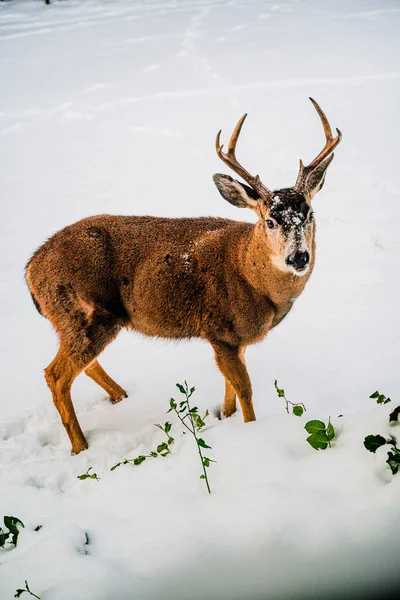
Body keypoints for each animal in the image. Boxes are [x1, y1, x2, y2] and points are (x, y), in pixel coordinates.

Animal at [26, 99, 342, 454]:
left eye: (310, 214)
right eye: (270, 221)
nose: (298, 257)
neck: (249, 273)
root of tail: (31, 268)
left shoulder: (234, 339)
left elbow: (229, 387)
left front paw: (225, 418)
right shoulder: (219, 328)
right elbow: (244, 389)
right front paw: (251, 432)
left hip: (80, 319)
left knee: (79, 366)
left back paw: (120, 397)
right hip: (85, 311)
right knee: (55, 375)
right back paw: (81, 447)